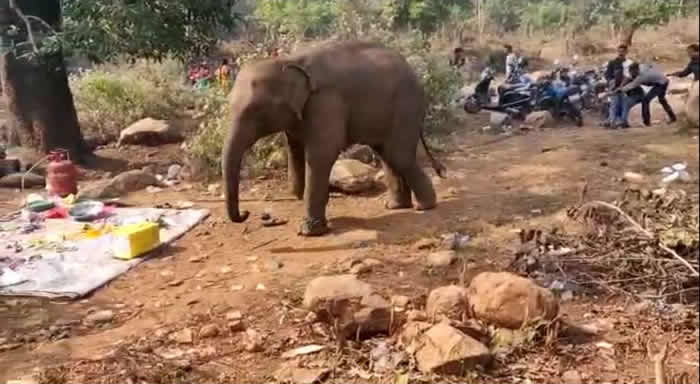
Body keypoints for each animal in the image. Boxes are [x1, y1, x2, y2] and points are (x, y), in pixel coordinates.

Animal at [221, 40, 446, 236]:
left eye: (256, 111)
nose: (246, 213)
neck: (287, 60)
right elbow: (295, 151)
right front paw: (301, 196)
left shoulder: (326, 102)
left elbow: (321, 155)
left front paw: (309, 232)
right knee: (387, 154)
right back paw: (395, 206)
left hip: (407, 106)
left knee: (398, 155)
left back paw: (424, 207)